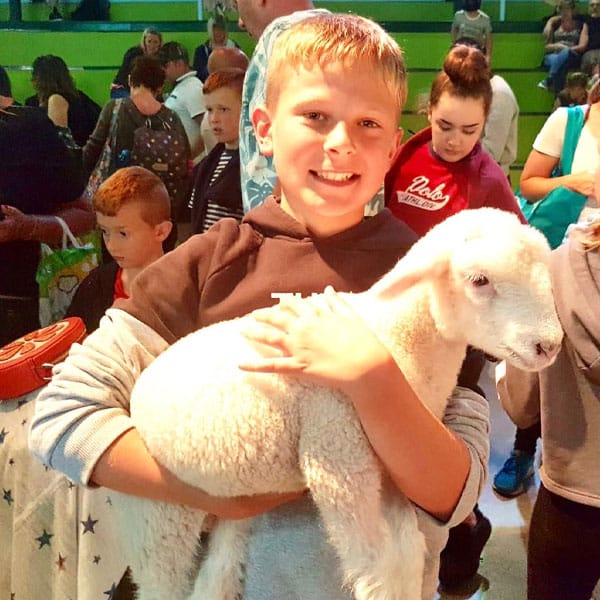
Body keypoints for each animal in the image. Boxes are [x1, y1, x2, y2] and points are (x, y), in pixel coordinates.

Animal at [118, 206, 564, 600]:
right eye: (479, 280)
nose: (549, 345)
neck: (391, 338)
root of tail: (145, 383)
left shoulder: (391, 472)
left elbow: (408, 549)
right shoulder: (338, 456)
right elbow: (378, 563)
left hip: (233, 505)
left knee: (220, 568)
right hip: (160, 512)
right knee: (161, 579)